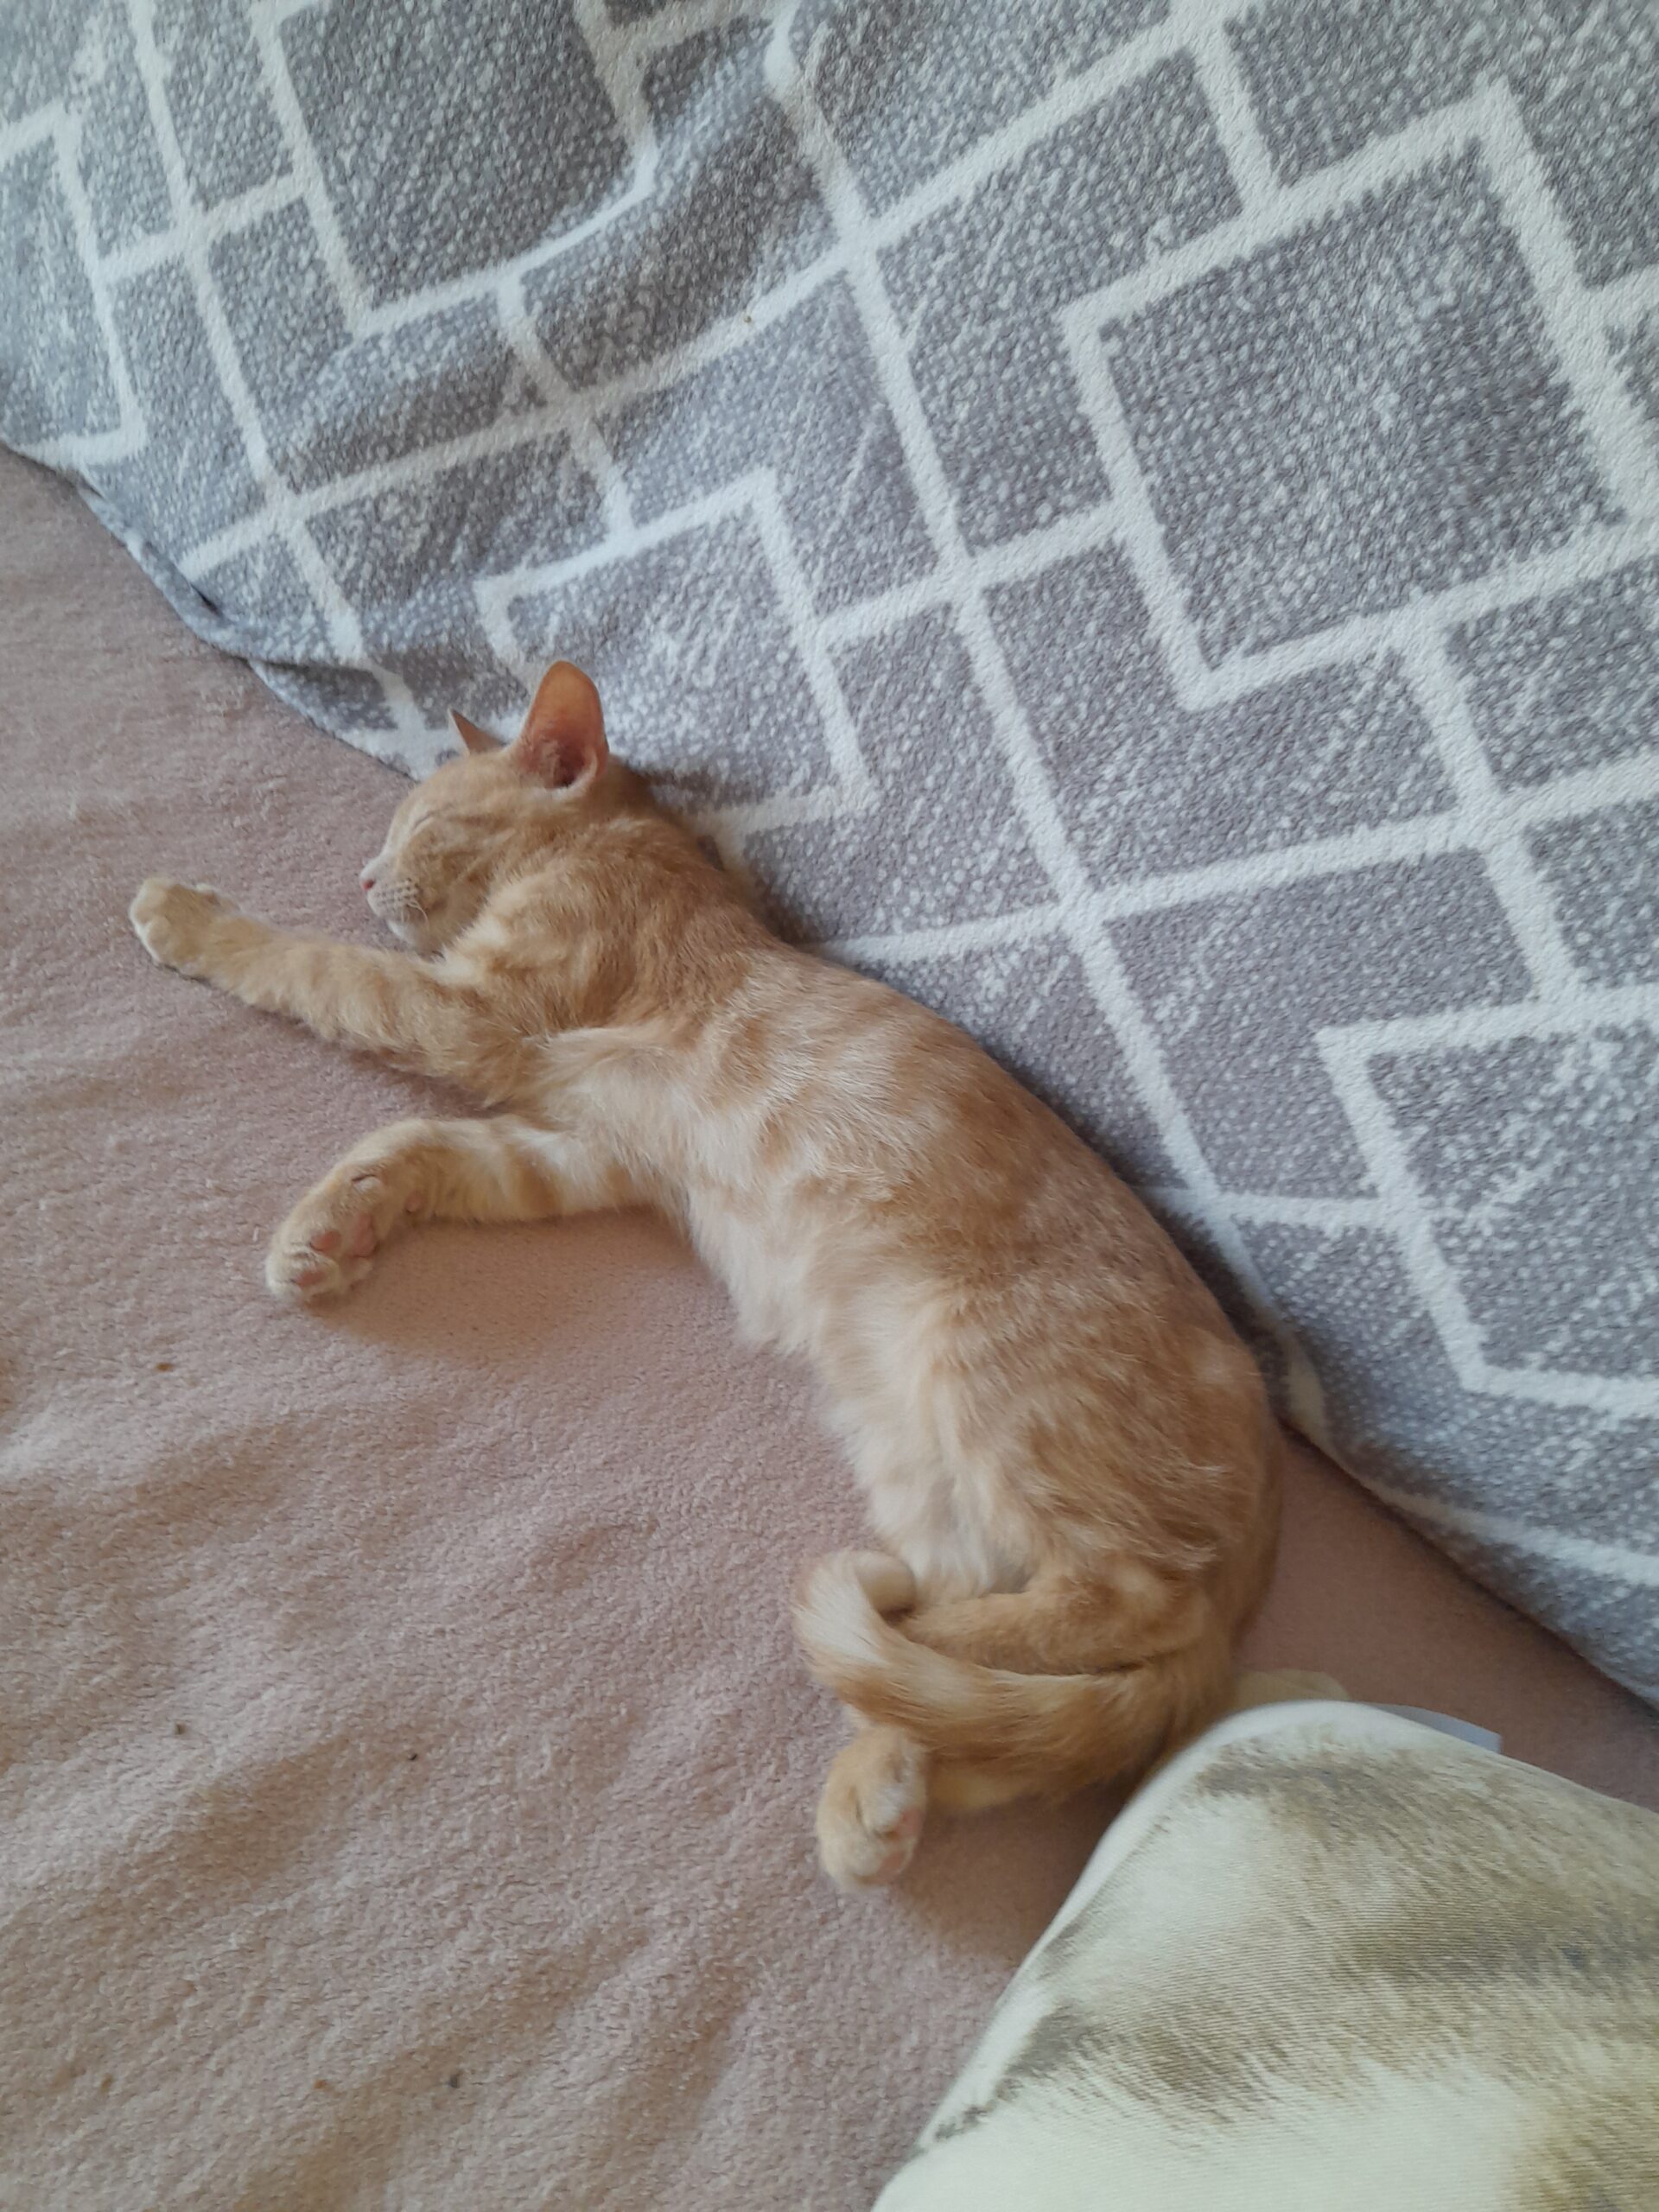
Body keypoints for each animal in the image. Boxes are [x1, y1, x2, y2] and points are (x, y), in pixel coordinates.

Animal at [130, 660, 1281, 1889]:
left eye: (422, 823)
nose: (361, 873)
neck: (631, 854)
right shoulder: (576, 1148)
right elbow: (420, 1145)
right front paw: (333, 1227)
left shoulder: (475, 1011)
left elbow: (320, 966)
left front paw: (193, 917)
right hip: (920, 1461)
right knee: (1035, 1712)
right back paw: (878, 1787)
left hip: (991, 1387)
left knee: (1126, 1612)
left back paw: (907, 1646)